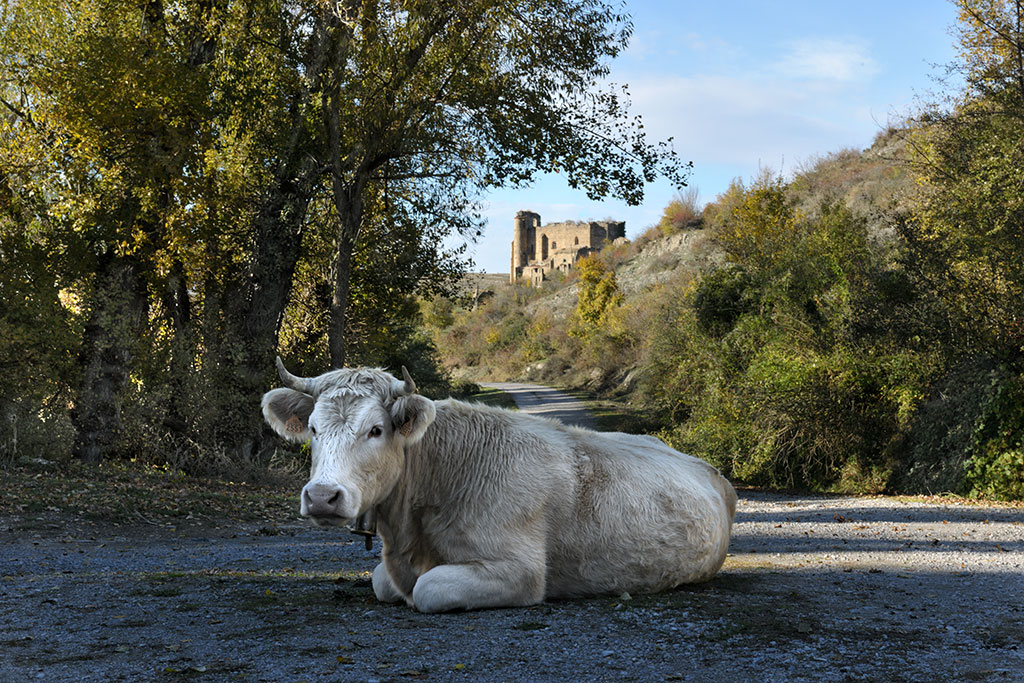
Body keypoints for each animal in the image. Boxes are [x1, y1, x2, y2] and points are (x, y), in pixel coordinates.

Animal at [260, 360, 733, 610]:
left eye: (376, 430)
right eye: (314, 429)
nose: (322, 497)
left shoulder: (520, 572)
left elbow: (428, 590)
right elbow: (380, 582)